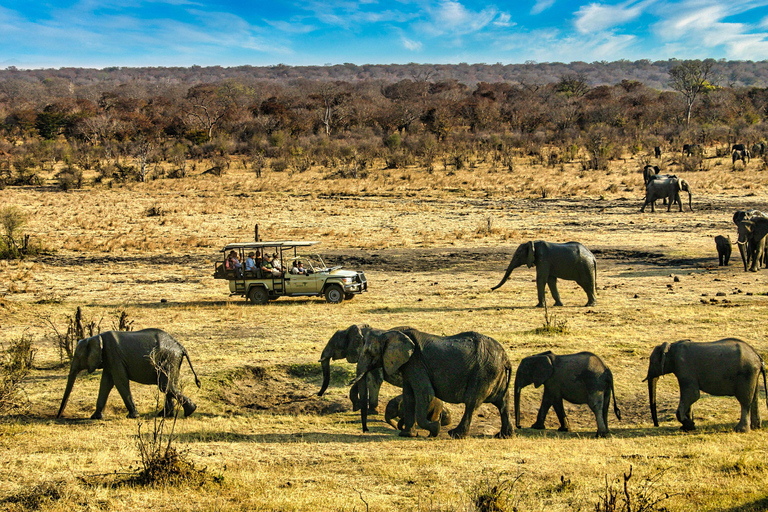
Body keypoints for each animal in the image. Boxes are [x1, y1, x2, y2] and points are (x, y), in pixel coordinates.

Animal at [57, 328, 201, 420]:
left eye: (77, 357)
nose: (58, 417)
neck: (96, 338)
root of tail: (180, 347)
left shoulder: (113, 355)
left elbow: (120, 382)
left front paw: (133, 416)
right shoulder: (109, 360)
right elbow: (106, 383)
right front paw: (95, 417)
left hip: (169, 358)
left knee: (165, 386)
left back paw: (189, 411)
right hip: (172, 360)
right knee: (169, 385)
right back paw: (166, 415)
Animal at [352, 330, 512, 438]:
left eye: (369, 352)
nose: (366, 430)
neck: (388, 334)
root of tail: (506, 358)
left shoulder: (416, 362)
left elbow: (425, 394)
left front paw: (435, 428)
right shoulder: (409, 366)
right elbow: (409, 397)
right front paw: (407, 435)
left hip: (484, 372)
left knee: (472, 402)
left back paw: (455, 434)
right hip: (494, 373)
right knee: (502, 402)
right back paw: (504, 435)